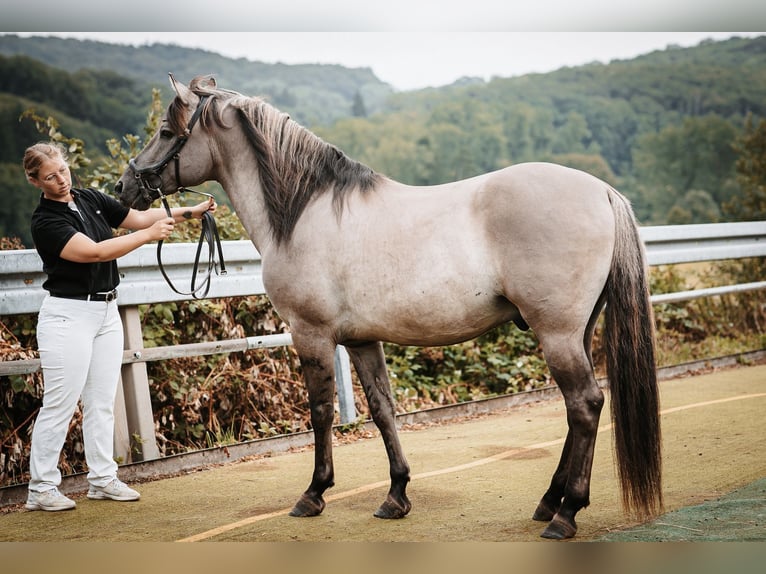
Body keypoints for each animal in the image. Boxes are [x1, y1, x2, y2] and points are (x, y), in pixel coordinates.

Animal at [115, 74, 663, 539]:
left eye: (166, 131)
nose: (124, 187)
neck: (303, 211)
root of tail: (602, 191)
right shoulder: (361, 339)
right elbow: (382, 410)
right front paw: (397, 495)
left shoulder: (311, 334)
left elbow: (320, 412)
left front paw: (314, 493)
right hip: (574, 333)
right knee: (576, 410)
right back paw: (549, 502)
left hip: (557, 333)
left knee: (585, 406)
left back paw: (566, 514)